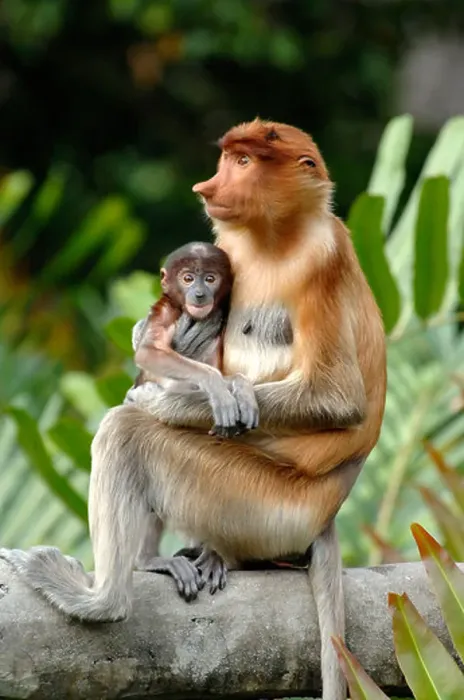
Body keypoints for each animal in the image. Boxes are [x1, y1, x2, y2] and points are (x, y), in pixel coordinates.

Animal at [0, 119, 387, 700]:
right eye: (230, 159)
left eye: (245, 162)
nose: (207, 187)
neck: (277, 239)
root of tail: (323, 518)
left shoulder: (324, 257)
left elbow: (338, 399)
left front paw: (176, 397)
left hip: (260, 505)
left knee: (124, 433)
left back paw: (105, 598)